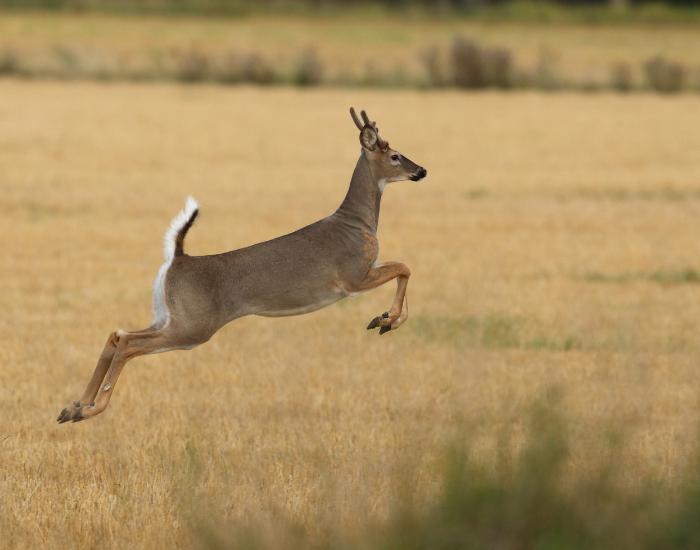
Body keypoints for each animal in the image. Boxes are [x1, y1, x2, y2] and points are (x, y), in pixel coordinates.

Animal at [57, 108, 427, 423]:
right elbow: (404, 266)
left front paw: (386, 320)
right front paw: (385, 320)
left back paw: (73, 407)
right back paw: (90, 409)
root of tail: (176, 258)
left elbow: (404, 270)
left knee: (117, 335)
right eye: (394, 155)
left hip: (168, 315)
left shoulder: (362, 274)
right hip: (193, 326)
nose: (421, 170)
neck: (357, 223)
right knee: (128, 344)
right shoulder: (353, 276)